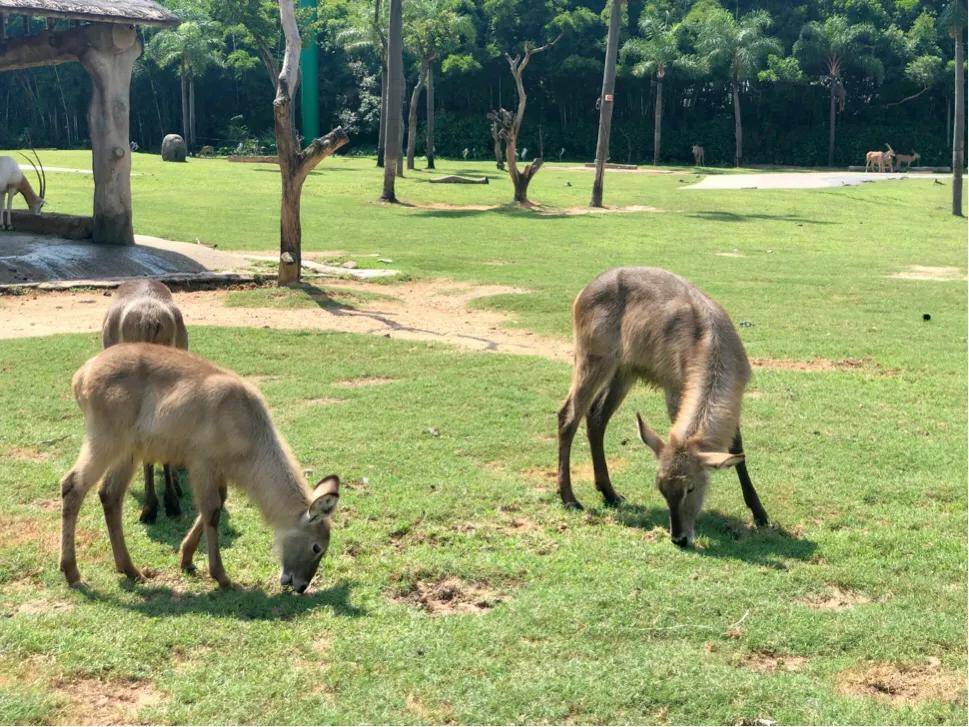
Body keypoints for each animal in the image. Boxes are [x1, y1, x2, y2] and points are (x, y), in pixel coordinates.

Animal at [59, 346, 340, 592]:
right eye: (317, 547)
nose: (301, 586)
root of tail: (81, 374)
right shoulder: (202, 464)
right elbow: (212, 511)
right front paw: (222, 577)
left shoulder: (217, 470)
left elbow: (215, 505)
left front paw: (186, 560)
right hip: (106, 442)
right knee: (72, 486)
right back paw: (73, 574)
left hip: (129, 452)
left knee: (110, 495)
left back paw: (131, 570)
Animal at [556, 268, 768, 544]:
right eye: (661, 489)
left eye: (690, 487)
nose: (679, 538)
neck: (710, 342)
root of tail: (588, 288)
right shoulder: (674, 390)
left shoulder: (735, 402)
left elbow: (737, 449)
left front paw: (760, 513)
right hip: (593, 360)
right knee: (568, 416)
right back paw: (569, 498)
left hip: (624, 371)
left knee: (596, 417)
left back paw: (610, 493)